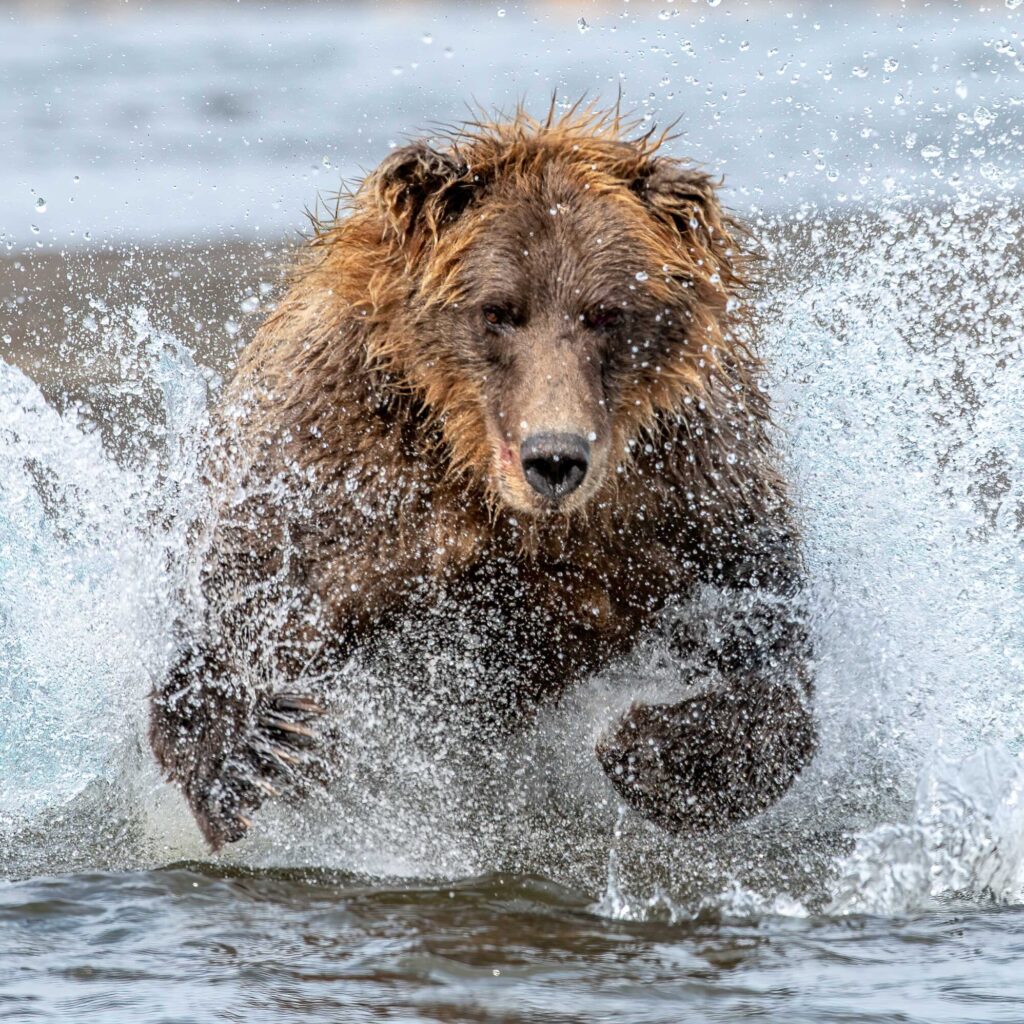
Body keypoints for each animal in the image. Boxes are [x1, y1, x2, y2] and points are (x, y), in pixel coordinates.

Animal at [148, 101, 815, 847]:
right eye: (497, 310)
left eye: (606, 311)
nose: (554, 458)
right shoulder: (337, 468)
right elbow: (243, 604)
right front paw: (261, 748)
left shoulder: (684, 490)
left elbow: (764, 632)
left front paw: (650, 746)